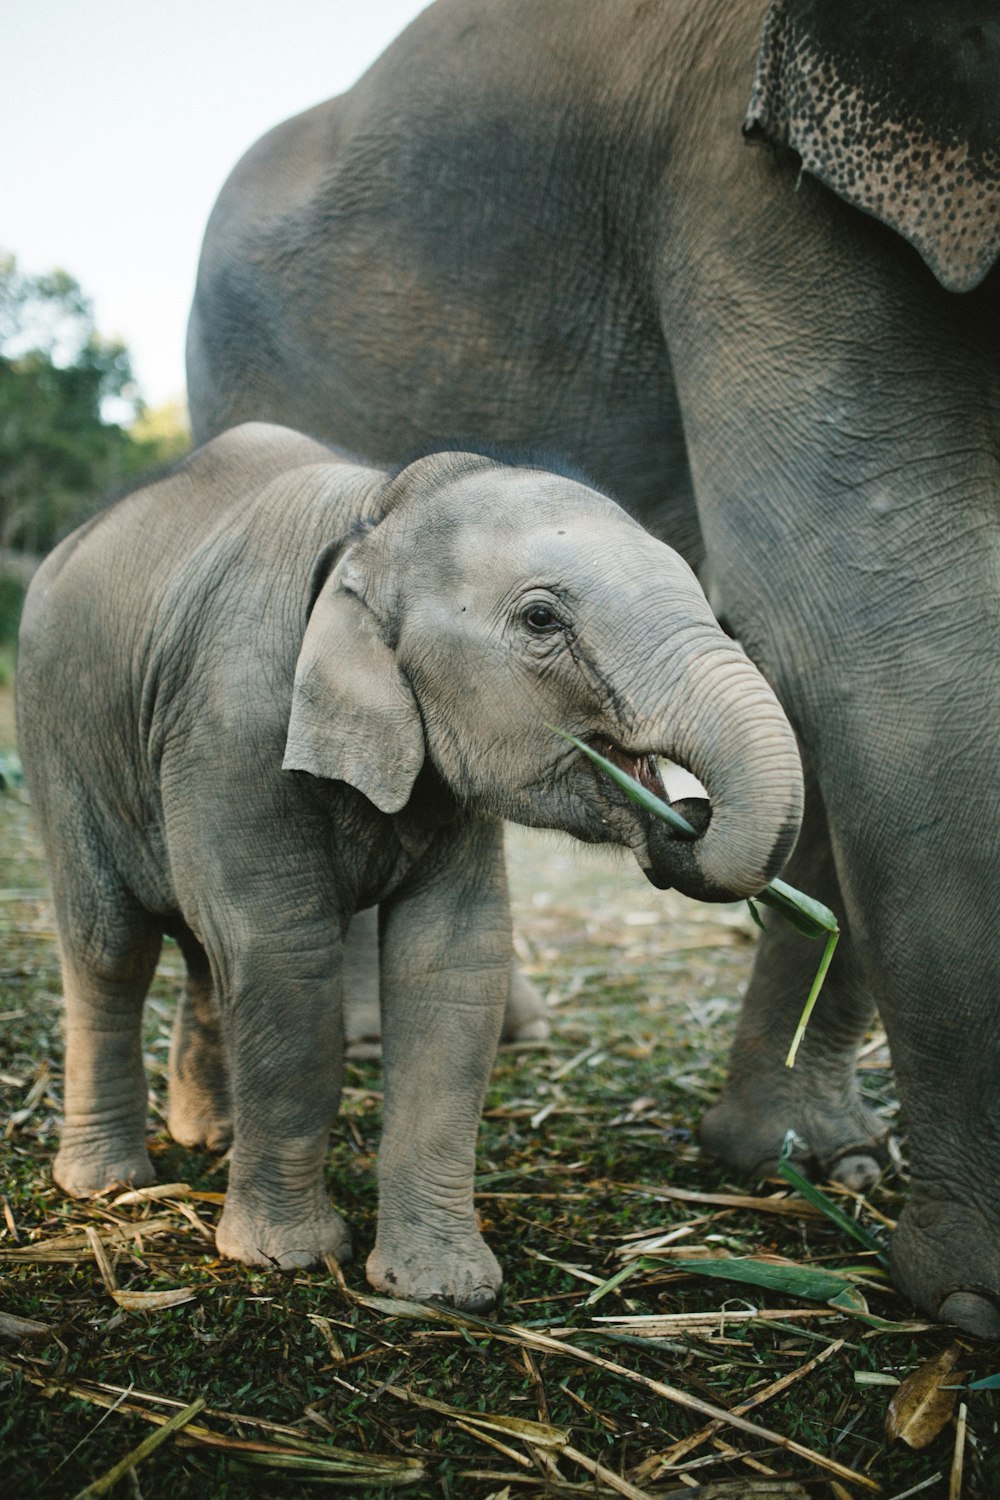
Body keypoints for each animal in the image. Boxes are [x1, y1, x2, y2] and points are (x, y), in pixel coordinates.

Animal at [15, 426, 803, 1314]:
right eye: (541, 618)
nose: (688, 811)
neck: (376, 515)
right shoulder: (232, 723)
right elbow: (284, 952)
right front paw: (285, 1259)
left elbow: (451, 961)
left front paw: (442, 1290)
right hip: (57, 742)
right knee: (114, 946)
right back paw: (106, 1185)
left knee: (203, 951)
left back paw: (211, 1138)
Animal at [182, 2, 1000, 1338]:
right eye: (540, 622)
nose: (679, 822)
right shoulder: (736, 185)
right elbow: (877, 617)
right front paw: (975, 1299)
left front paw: (809, 1164)